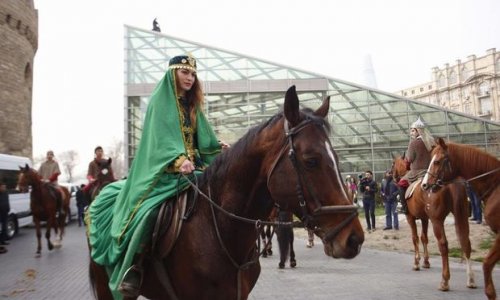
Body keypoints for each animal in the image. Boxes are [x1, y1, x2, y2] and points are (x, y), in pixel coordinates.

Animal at [392, 157, 474, 290]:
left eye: (393, 164)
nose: (391, 175)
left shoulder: (410, 218)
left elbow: (415, 238)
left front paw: (417, 263)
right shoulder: (425, 218)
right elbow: (424, 238)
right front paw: (426, 262)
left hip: (437, 221)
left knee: (443, 245)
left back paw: (445, 281)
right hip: (461, 217)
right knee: (466, 242)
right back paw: (470, 280)